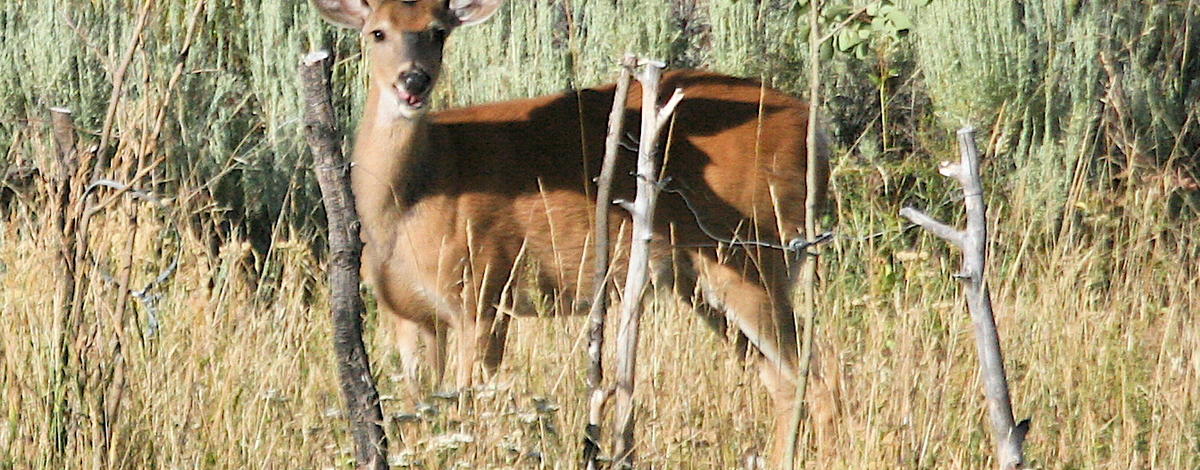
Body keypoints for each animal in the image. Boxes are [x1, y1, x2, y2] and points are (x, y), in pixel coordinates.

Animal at [314, 0, 840, 462]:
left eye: (437, 31)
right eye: (376, 32)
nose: (414, 79)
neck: (409, 202)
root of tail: (813, 126)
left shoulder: (484, 289)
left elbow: (471, 408)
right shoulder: (405, 314)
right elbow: (422, 411)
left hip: (755, 252)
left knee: (817, 375)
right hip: (703, 280)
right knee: (781, 380)